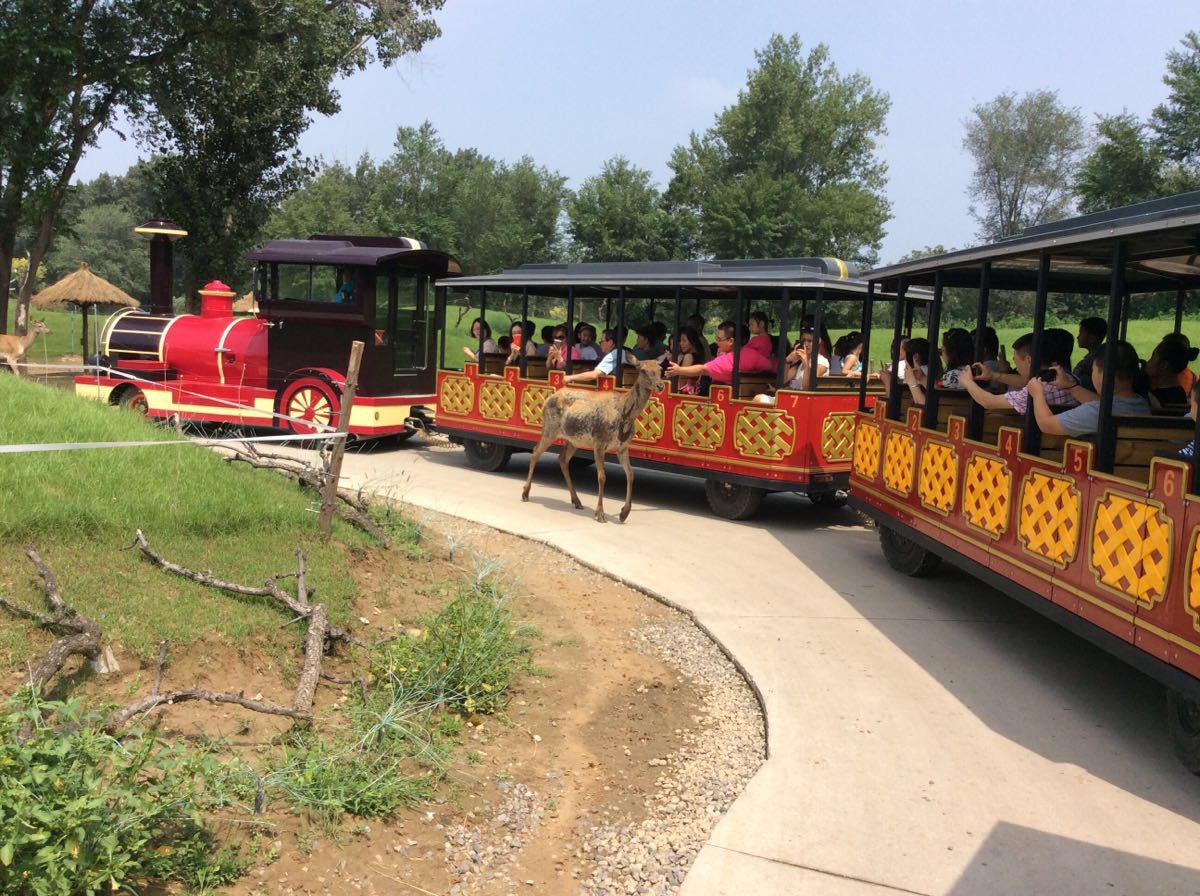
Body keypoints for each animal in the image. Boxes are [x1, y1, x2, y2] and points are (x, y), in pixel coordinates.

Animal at [520, 359, 667, 522]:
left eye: (660, 369)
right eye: (643, 370)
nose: (660, 385)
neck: (625, 416)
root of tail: (547, 400)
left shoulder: (623, 447)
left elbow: (630, 474)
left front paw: (624, 513)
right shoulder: (599, 443)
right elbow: (602, 477)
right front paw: (600, 514)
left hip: (573, 440)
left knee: (562, 458)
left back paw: (577, 500)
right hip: (550, 428)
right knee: (535, 452)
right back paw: (525, 493)